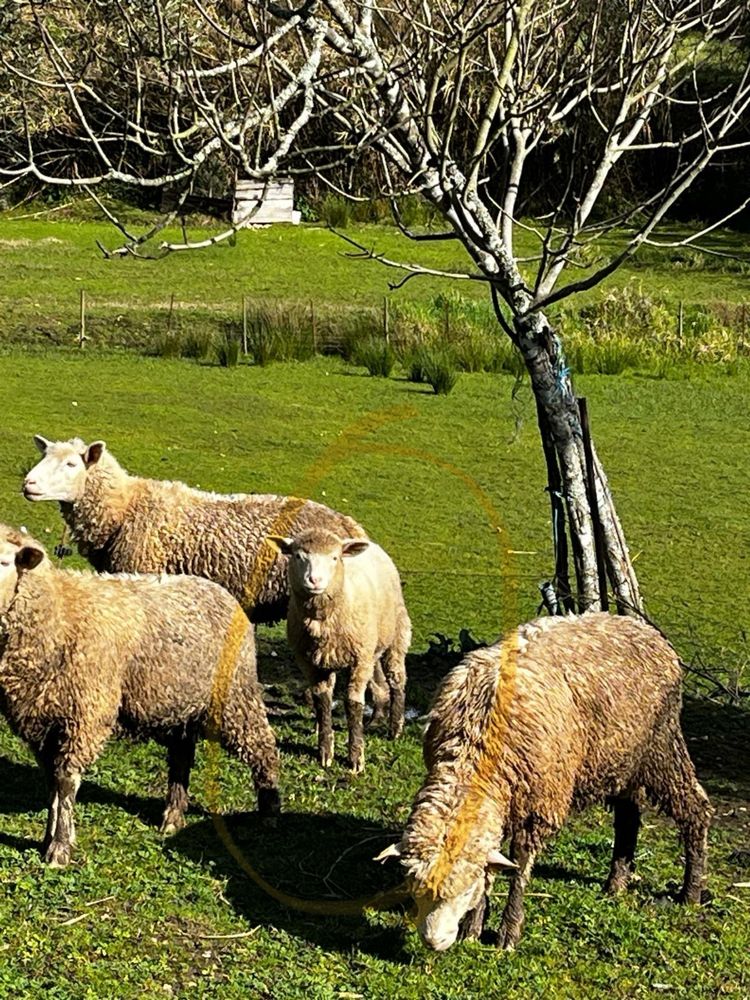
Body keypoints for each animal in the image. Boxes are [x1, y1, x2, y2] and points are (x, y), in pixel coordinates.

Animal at [0, 524, 280, 868]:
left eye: (4, 563)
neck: (59, 615)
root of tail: (222, 593)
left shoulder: (85, 716)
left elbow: (65, 782)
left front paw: (60, 848)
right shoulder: (41, 721)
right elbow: (52, 783)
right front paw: (48, 837)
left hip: (235, 695)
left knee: (262, 746)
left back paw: (269, 810)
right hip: (181, 704)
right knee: (182, 757)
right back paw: (173, 815)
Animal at [268, 532, 412, 772]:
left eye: (334, 558)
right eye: (298, 556)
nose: (314, 580)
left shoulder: (359, 660)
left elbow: (353, 704)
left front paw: (355, 758)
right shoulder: (310, 663)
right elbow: (323, 701)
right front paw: (325, 752)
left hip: (396, 635)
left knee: (396, 679)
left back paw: (395, 728)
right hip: (367, 649)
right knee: (379, 681)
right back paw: (374, 719)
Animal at [378, 612, 712, 948]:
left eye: (463, 892)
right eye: (416, 891)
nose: (433, 942)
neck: (476, 741)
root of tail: (640, 626)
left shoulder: (537, 805)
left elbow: (520, 866)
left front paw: (507, 933)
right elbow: (492, 867)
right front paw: (473, 928)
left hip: (662, 748)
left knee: (696, 808)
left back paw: (691, 892)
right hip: (622, 760)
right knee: (628, 817)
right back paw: (616, 883)